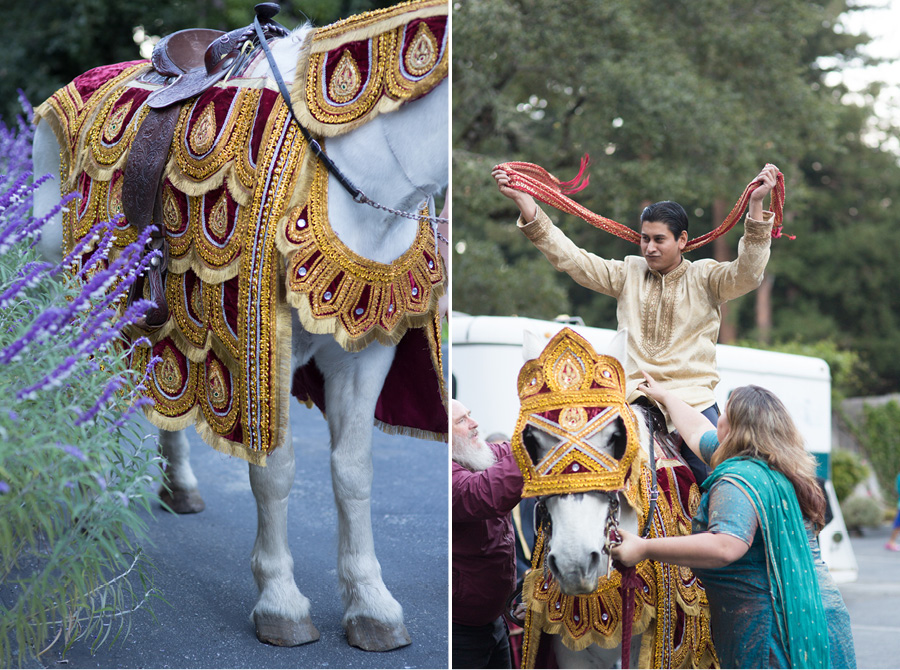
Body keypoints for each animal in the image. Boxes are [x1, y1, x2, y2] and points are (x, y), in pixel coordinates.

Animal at [33, 15, 448, 656]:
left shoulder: (368, 351)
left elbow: (353, 472)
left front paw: (371, 605)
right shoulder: (260, 351)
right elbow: (274, 470)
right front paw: (280, 601)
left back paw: (177, 486)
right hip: (69, 294)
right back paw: (87, 491)